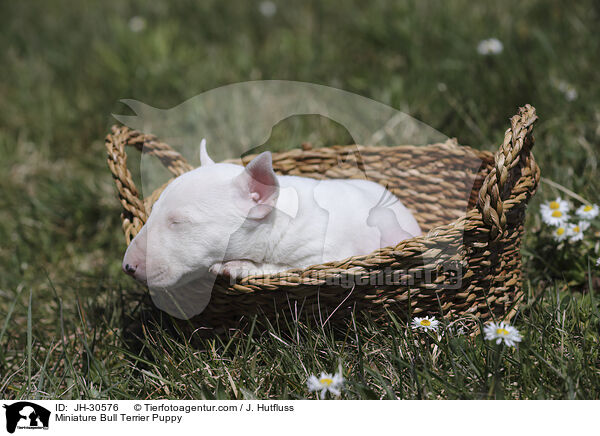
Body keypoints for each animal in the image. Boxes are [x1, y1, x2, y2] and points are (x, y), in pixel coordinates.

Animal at [123, 141, 422, 318]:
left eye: (178, 222)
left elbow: (284, 267)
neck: (277, 218)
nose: (128, 267)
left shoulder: (324, 254)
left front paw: (236, 266)